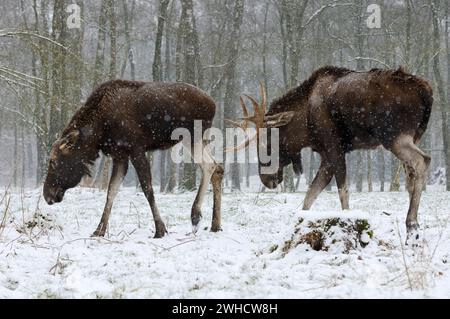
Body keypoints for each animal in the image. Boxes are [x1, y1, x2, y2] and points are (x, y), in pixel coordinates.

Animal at [43, 81, 223, 239]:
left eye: (53, 161)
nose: (47, 195)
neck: (99, 131)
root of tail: (213, 104)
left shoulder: (136, 149)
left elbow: (147, 189)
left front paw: (160, 229)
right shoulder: (120, 155)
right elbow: (111, 191)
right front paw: (99, 230)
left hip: (191, 137)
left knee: (209, 166)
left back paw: (195, 215)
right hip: (198, 140)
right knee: (218, 168)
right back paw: (215, 224)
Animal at [230, 66, 434, 244]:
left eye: (267, 142)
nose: (266, 179)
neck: (305, 123)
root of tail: (427, 93)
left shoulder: (334, 148)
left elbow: (342, 192)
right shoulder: (326, 157)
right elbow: (309, 196)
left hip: (394, 137)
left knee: (423, 161)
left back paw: (412, 224)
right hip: (414, 136)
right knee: (411, 174)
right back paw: (412, 233)